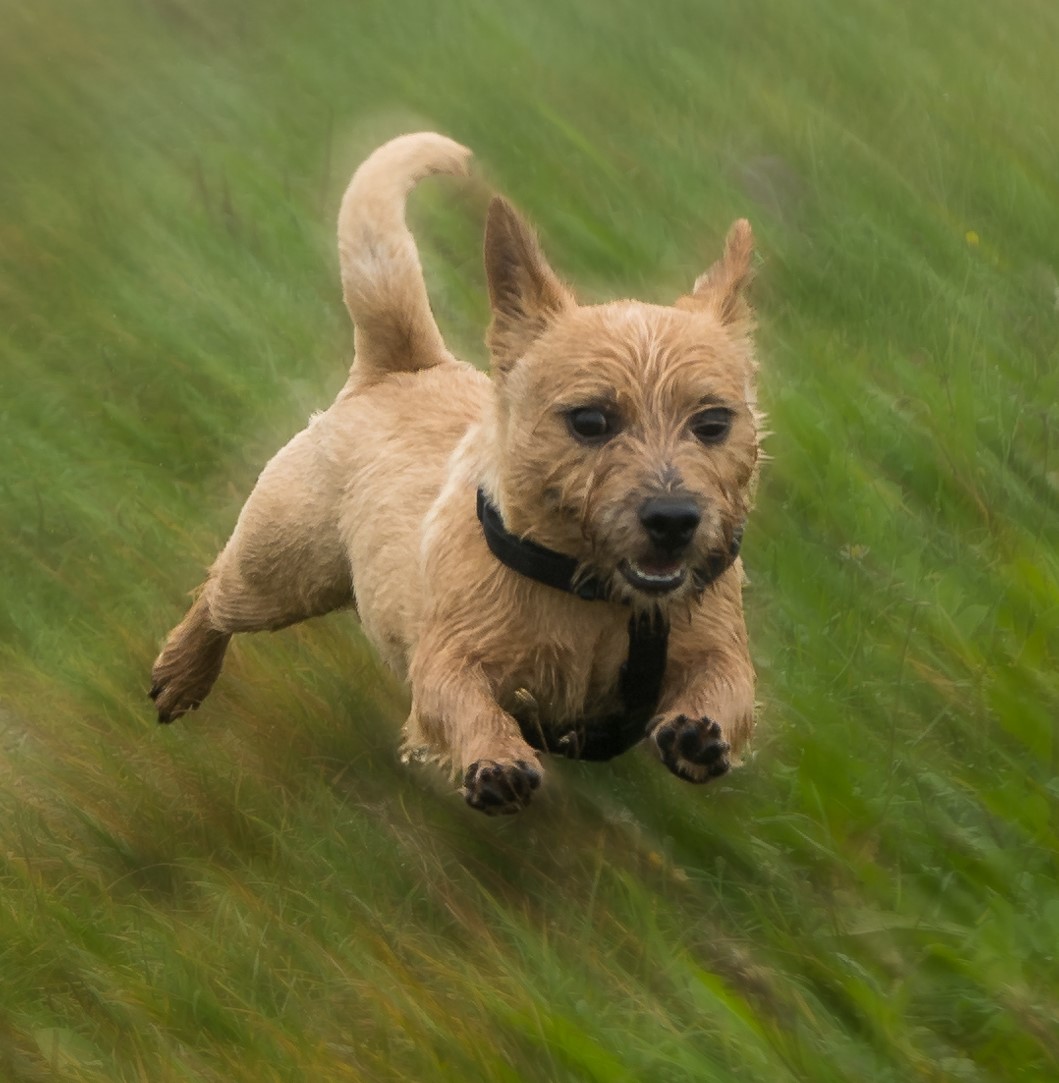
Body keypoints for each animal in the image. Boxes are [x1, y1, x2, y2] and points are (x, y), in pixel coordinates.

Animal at [150, 131, 757, 814]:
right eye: (590, 421)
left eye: (713, 423)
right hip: (280, 574)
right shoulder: (447, 659)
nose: (675, 519)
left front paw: (698, 732)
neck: (595, 598)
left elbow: (727, 684)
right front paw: (496, 760)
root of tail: (406, 364)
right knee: (217, 596)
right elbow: (465, 701)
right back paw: (181, 673)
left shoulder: (718, 646)